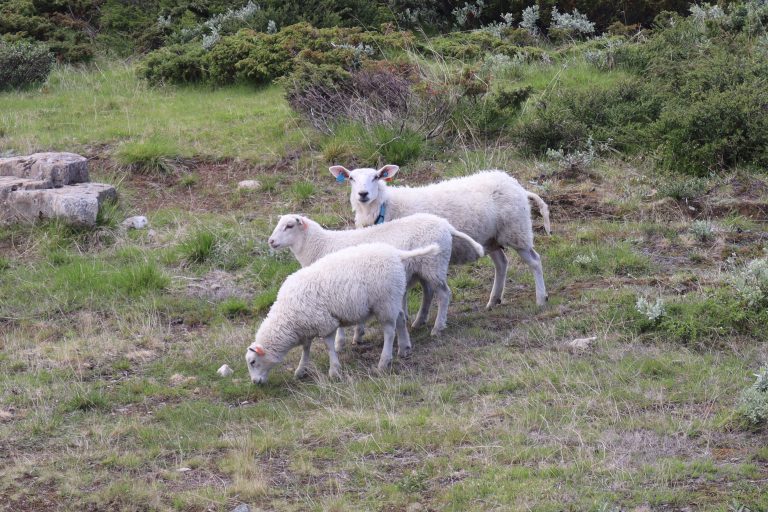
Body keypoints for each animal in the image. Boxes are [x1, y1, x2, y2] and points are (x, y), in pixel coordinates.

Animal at [246, 242, 440, 384]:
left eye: (253, 362)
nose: (255, 382)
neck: (287, 317)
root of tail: (396, 254)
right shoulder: (307, 326)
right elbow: (306, 349)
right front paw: (301, 370)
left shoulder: (324, 323)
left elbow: (328, 346)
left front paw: (334, 370)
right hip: (392, 298)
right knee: (400, 318)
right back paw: (404, 348)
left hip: (384, 301)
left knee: (389, 331)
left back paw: (384, 362)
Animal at [267, 213, 484, 343]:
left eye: (288, 226)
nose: (271, 241)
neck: (320, 245)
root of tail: (445, 225)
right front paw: (358, 335)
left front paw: (341, 341)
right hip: (426, 267)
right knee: (429, 292)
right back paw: (418, 322)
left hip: (434, 265)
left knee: (445, 295)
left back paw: (438, 328)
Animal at [329, 165, 551, 309]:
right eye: (351, 178)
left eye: (376, 177)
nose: (363, 194)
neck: (385, 206)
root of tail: (516, 184)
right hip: (490, 238)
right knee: (502, 263)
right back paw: (493, 300)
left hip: (516, 231)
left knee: (535, 261)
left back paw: (541, 299)